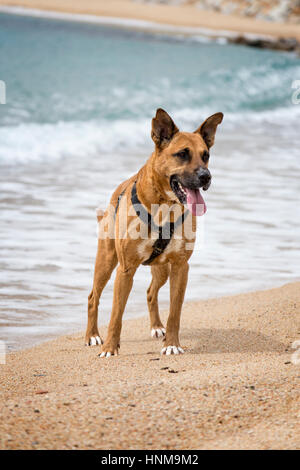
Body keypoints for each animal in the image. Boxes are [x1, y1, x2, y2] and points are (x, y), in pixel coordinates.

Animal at [84, 107, 223, 356]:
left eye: (206, 155)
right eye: (182, 154)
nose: (206, 176)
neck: (165, 205)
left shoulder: (180, 266)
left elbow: (175, 312)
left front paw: (172, 344)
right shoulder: (125, 270)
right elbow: (116, 315)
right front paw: (110, 348)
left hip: (162, 269)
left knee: (151, 292)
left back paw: (158, 327)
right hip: (106, 261)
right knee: (93, 297)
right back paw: (92, 335)